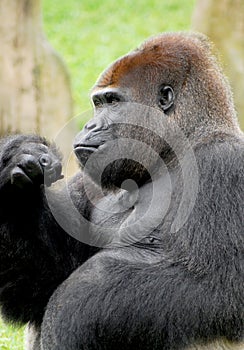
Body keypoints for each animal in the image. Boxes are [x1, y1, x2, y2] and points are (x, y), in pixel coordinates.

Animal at [0, 32, 244, 350]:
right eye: (98, 103)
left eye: (113, 101)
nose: (89, 125)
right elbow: (42, 277)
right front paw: (17, 167)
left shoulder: (223, 165)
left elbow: (220, 292)